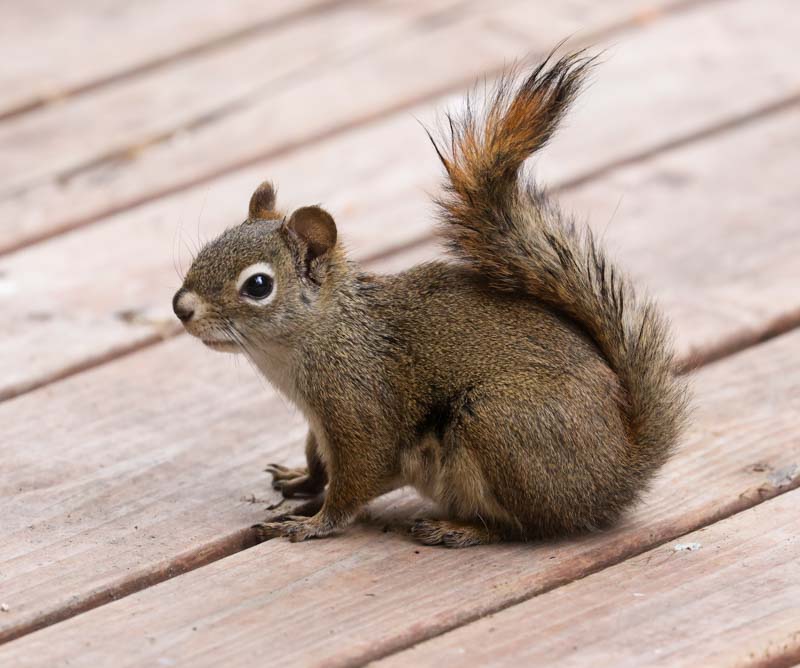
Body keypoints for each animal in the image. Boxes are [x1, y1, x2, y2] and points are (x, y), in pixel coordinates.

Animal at [173, 51, 688, 548]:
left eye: (258, 285)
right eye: (211, 245)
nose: (182, 308)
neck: (321, 337)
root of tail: (621, 472)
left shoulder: (361, 412)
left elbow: (353, 484)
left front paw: (312, 524)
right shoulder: (319, 425)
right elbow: (318, 460)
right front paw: (300, 478)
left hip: (500, 424)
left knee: (533, 526)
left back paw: (461, 529)